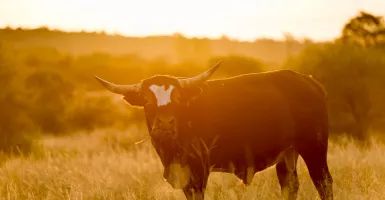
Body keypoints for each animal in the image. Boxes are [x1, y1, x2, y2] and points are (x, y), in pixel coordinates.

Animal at [94, 61, 332, 200]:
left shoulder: (199, 171)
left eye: (177, 98)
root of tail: (308, 80)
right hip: (288, 153)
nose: (165, 123)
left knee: (324, 183)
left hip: (314, 147)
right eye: (146, 100)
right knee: (290, 185)